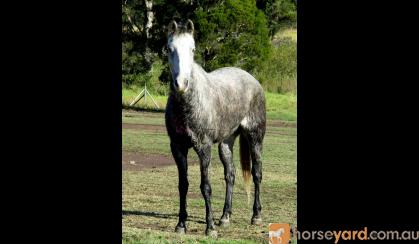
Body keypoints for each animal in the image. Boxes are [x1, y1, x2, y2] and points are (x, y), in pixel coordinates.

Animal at [164, 19, 266, 236]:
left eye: (193, 49)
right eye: (169, 49)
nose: (181, 84)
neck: (189, 105)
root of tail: (252, 80)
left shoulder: (204, 148)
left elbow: (206, 186)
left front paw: (209, 227)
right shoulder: (177, 147)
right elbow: (183, 185)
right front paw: (181, 225)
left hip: (255, 137)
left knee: (257, 173)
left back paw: (256, 216)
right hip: (226, 143)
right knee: (231, 175)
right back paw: (225, 217)